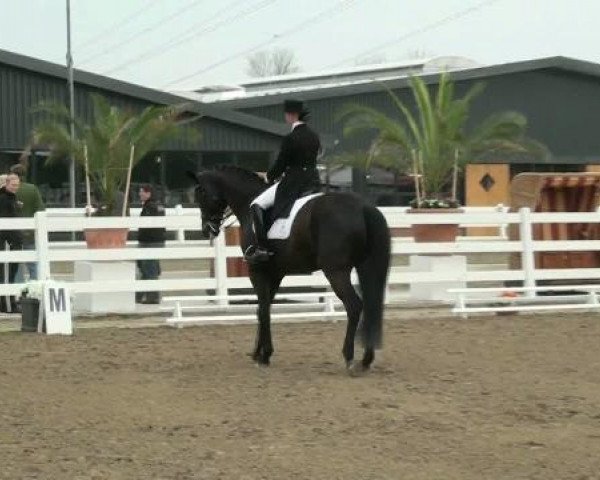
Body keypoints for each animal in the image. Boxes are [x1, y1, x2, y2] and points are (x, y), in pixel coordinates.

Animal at [190, 165, 392, 372]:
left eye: (201, 194)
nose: (207, 229)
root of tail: (363, 207)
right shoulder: (275, 273)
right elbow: (263, 309)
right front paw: (259, 353)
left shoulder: (257, 270)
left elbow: (263, 309)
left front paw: (264, 355)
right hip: (363, 266)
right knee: (370, 304)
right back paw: (366, 360)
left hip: (336, 271)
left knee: (354, 306)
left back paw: (349, 357)